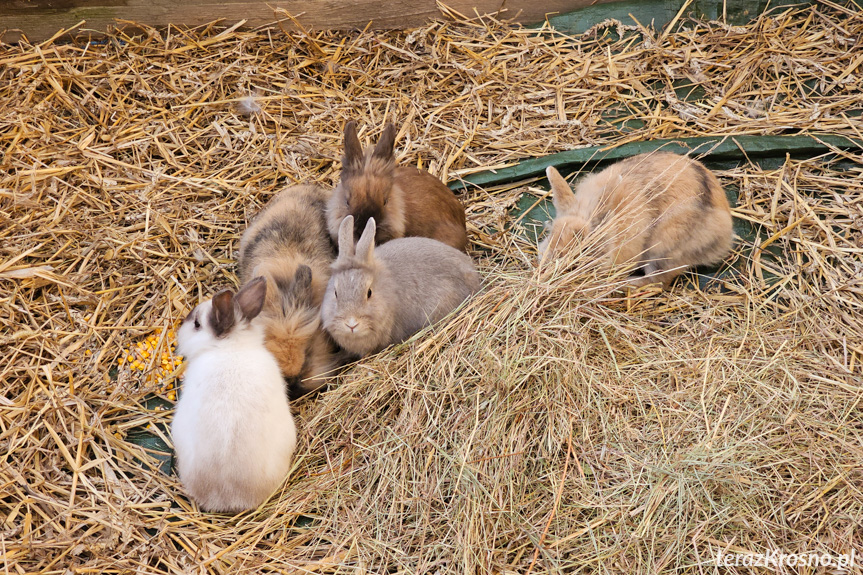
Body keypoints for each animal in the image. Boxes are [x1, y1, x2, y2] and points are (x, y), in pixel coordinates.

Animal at [540, 152, 736, 288]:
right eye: (551, 237)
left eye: (585, 248)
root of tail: (724, 235)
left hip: (660, 252)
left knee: (658, 283)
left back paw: (628, 283)